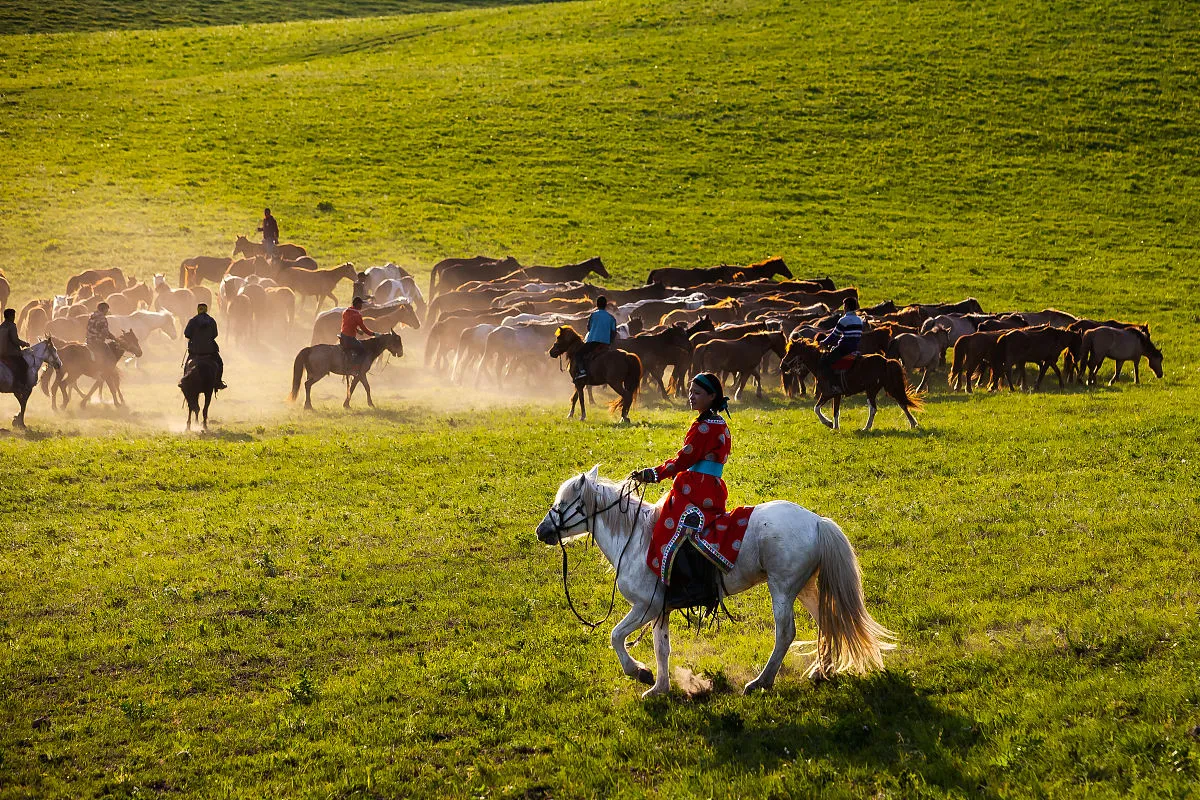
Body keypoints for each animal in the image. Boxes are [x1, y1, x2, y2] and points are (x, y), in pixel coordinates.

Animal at [536, 467, 894, 697]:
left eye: (562, 504)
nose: (541, 531)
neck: (634, 537)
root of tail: (818, 522)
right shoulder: (661, 609)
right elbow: (661, 648)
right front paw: (659, 688)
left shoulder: (646, 606)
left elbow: (615, 635)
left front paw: (638, 672)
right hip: (804, 587)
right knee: (825, 622)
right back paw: (821, 671)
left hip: (782, 587)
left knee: (786, 633)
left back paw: (761, 682)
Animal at [781, 339, 922, 430]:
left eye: (791, 352)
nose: (782, 365)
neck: (820, 364)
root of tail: (886, 360)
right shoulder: (836, 395)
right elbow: (835, 411)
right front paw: (835, 427)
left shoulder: (828, 393)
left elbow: (816, 408)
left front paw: (828, 423)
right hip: (889, 387)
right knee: (902, 403)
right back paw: (913, 424)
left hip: (871, 390)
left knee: (873, 408)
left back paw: (866, 427)